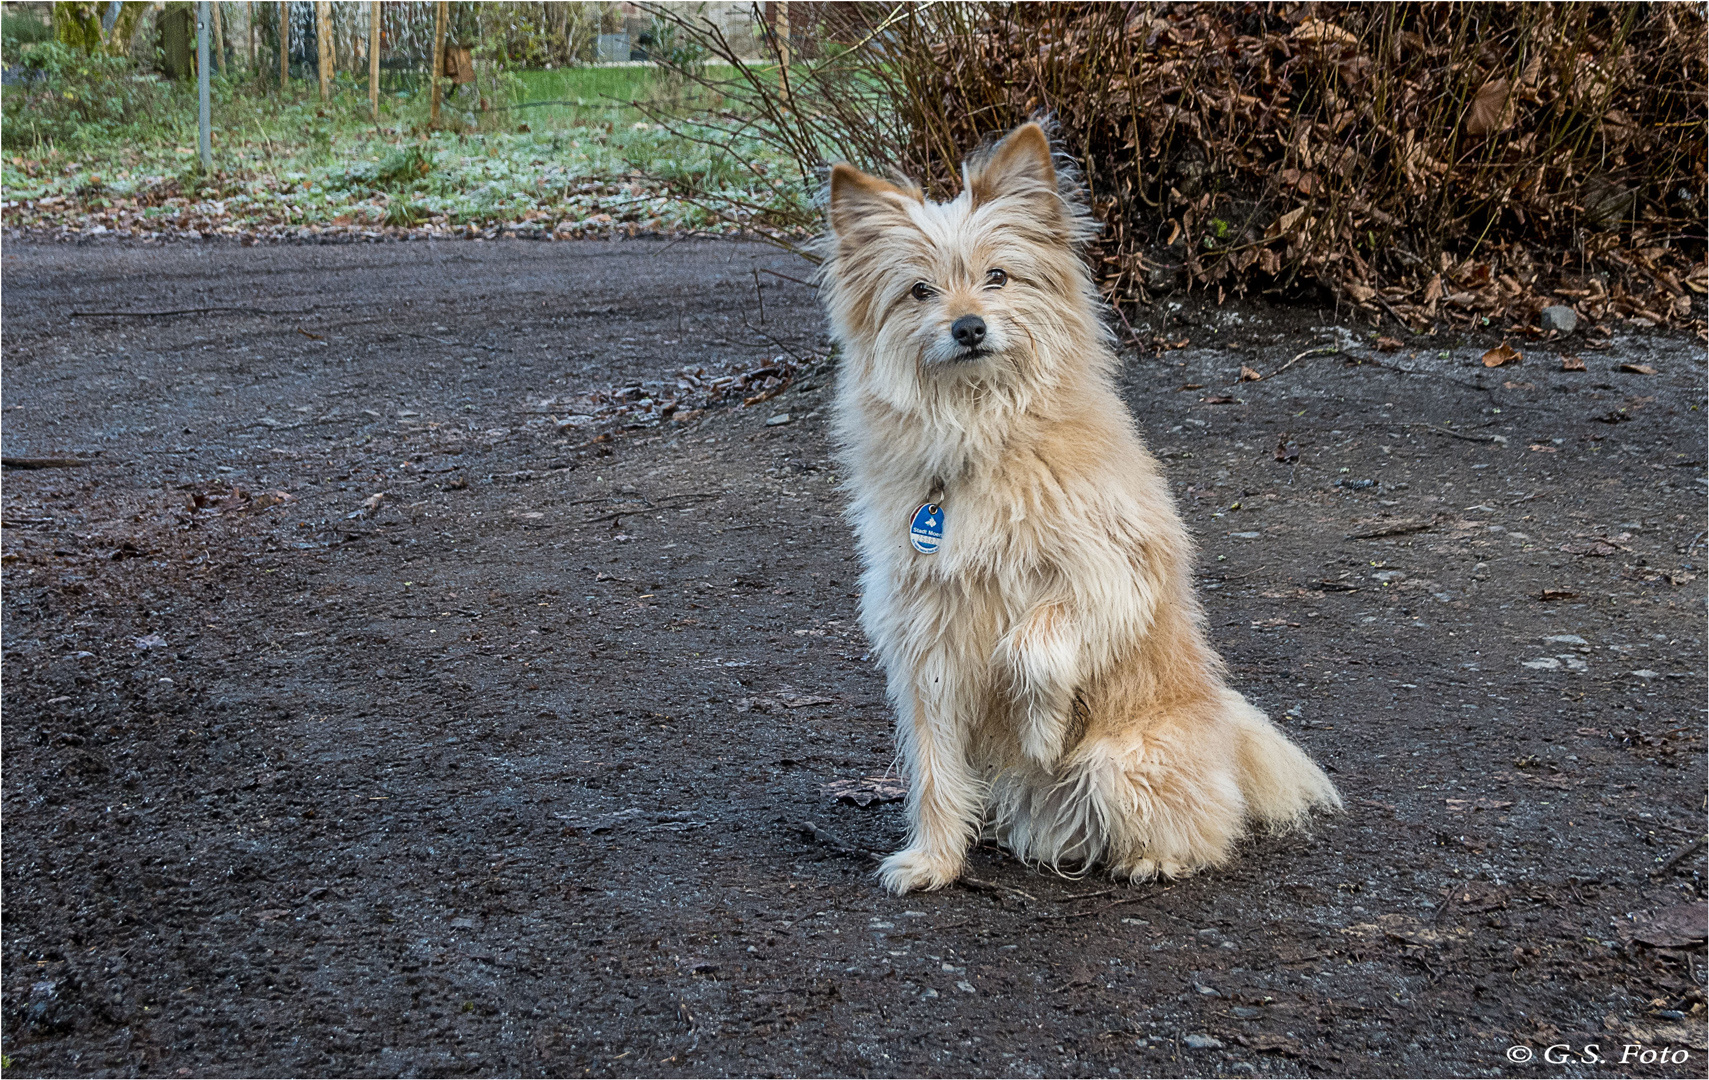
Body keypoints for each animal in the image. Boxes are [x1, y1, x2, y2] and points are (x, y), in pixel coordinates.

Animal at [827, 122, 1346, 895]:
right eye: (919, 290)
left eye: (998, 276)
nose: (969, 327)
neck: (982, 432)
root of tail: (1229, 733)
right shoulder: (926, 638)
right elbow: (934, 768)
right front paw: (932, 860)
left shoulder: (1114, 575)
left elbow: (1031, 642)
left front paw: (1040, 731)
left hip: (1124, 760)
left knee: (1201, 829)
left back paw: (1154, 857)